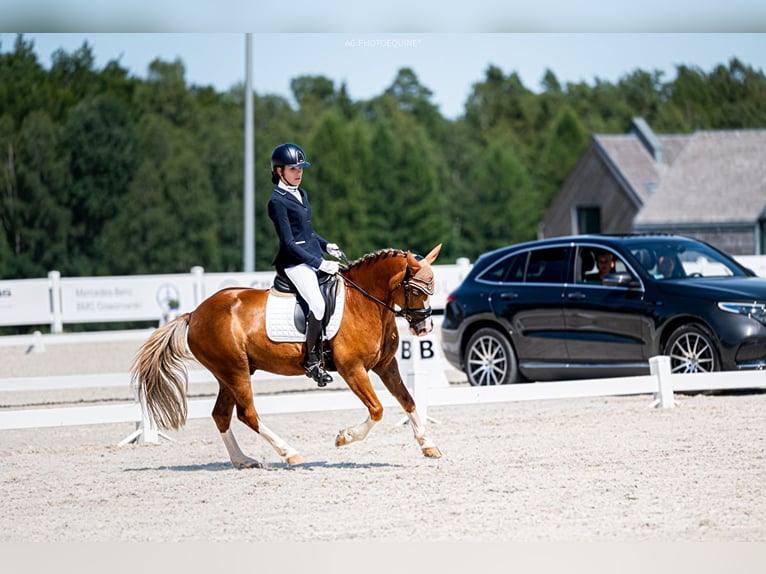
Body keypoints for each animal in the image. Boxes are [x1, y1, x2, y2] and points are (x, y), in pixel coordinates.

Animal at [133, 245, 444, 470]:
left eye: (432, 289)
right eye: (414, 289)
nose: (424, 328)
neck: (365, 302)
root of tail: (194, 313)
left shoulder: (385, 365)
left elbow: (408, 400)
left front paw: (428, 445)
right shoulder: (352, 368)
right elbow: (377, 410)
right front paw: (343, 438)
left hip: (228, 374)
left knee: (221, 415)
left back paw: (243, 460)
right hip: (235, 370)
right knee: (247, 414)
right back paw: (290, 453)